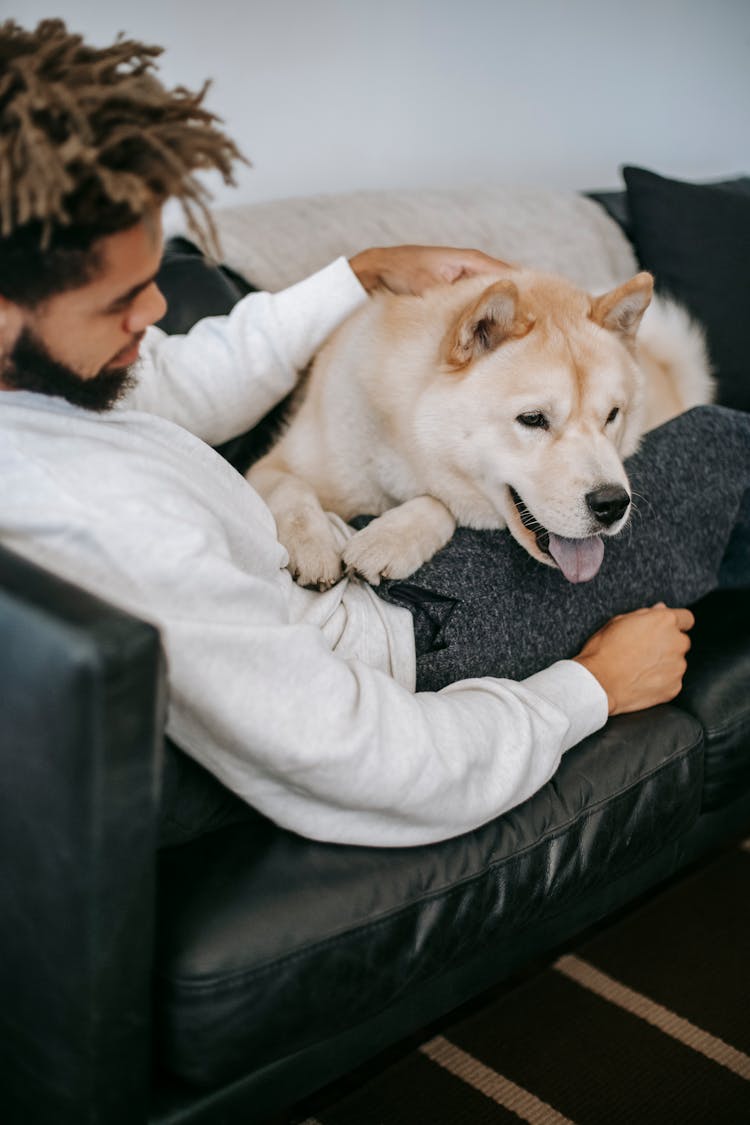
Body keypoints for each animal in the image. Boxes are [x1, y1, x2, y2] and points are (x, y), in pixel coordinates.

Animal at [247, 268, 715, 589]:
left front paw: (389, 538)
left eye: (612, 416)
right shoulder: (272, 466)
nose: (613, 504)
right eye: (533, 419)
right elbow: (292, 492)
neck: (399, 441)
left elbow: (438, 502)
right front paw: (310, 546)